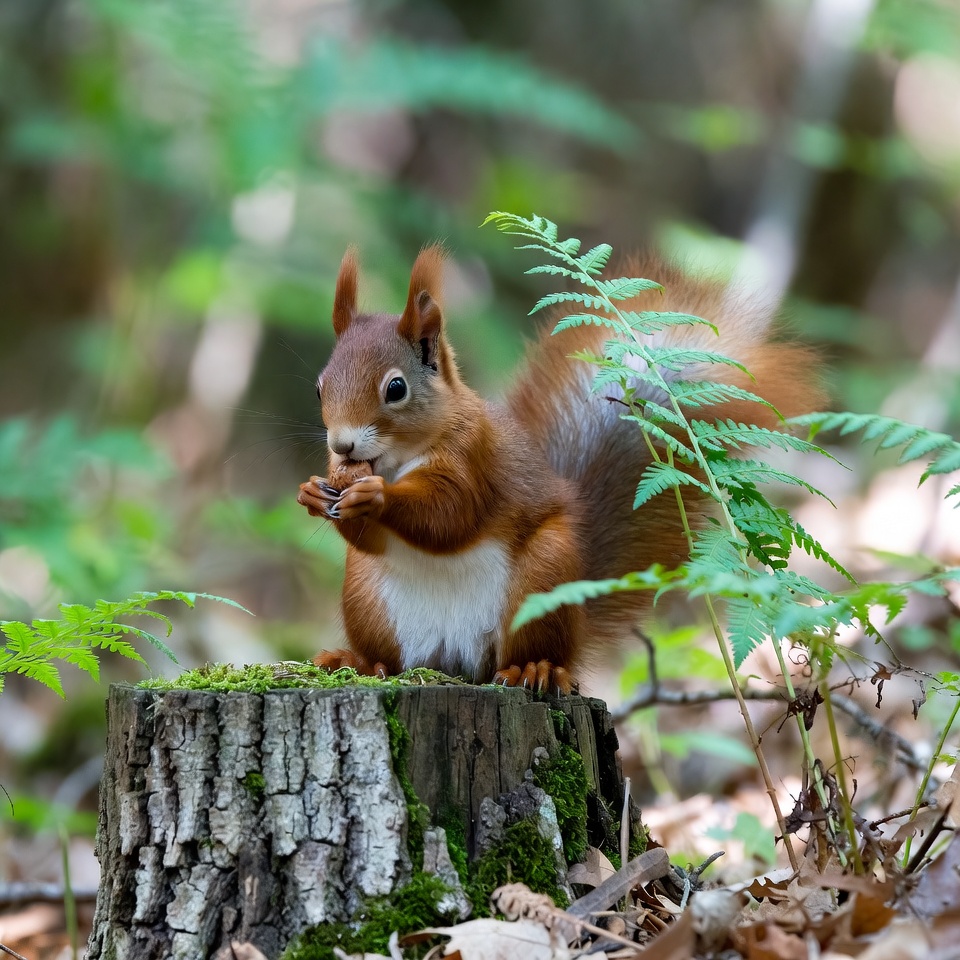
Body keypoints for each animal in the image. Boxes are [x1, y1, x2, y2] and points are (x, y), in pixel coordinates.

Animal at [297, 245, 820, 694]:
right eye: (320, 387)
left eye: (396, 388)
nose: (342, 445)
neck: (399, 459)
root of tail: (455, 662)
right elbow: (371, 537)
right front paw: (312, 493)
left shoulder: (473, 457)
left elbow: (450, 516)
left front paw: (376, 496)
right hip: (366, 596)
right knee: (391, 658)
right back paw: (357, 662)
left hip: (543, 578)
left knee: (532, 651)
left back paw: (537, 669)